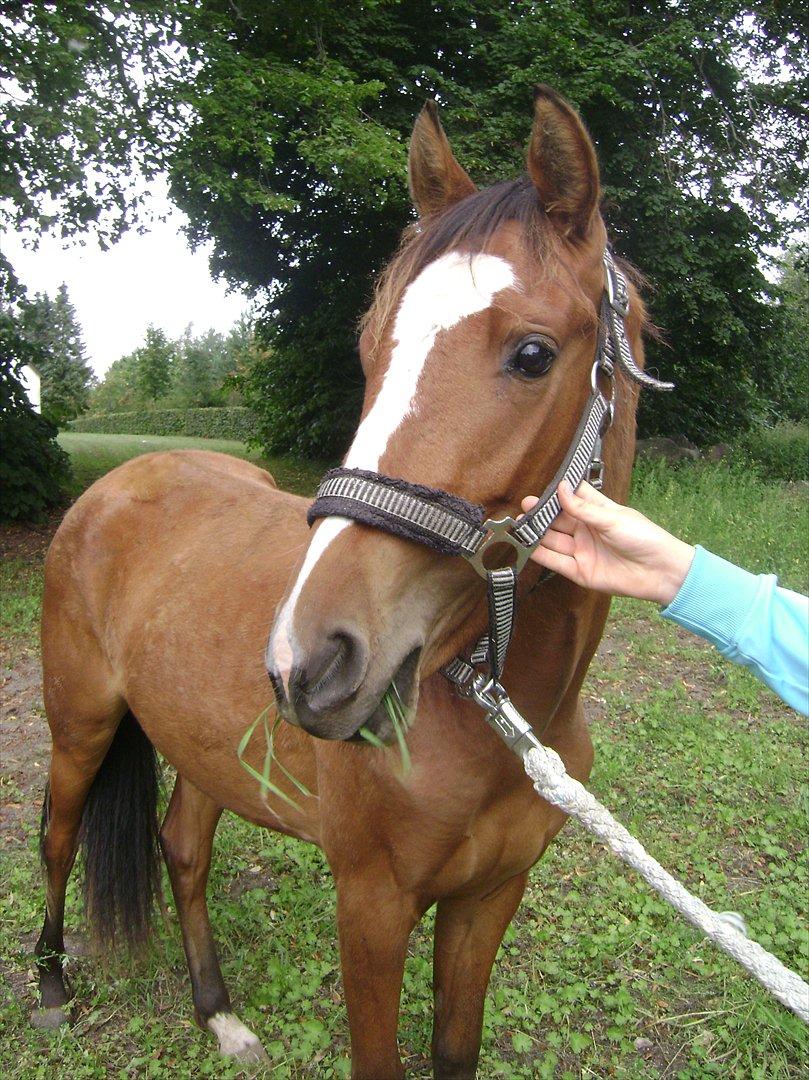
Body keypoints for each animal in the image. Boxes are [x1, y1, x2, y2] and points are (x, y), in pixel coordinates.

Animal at [34, 86, 643, 1080]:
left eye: (532, 354)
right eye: (368, 348)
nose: (307, 660)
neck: (497, 716)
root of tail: (116, 483)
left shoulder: (490, 898)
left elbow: (455, 1051)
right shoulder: (372, 906)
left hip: (199, 745)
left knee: (183, 849)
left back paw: (218, 1013)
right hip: (81, 725)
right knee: (56, 837)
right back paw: (50, 988)